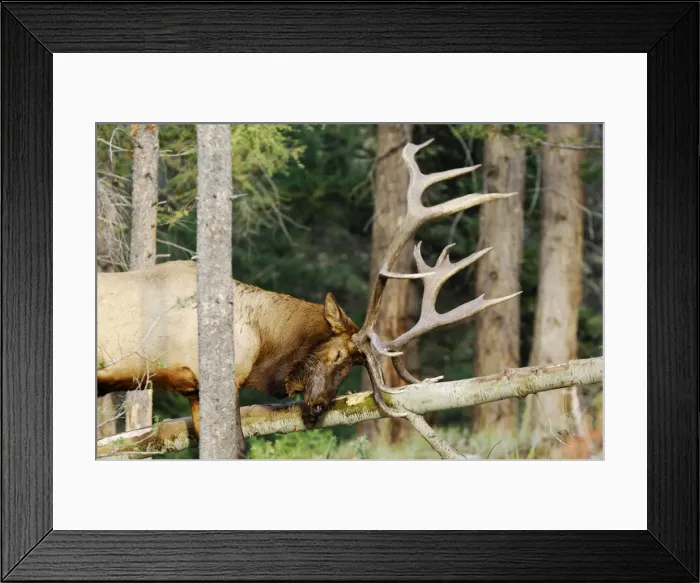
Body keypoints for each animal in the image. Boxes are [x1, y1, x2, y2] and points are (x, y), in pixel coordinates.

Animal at [96, 138, 519, 458]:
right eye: (337, 356)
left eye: (353, 368)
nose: (317, 407)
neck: (261, 340)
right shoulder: (223, 379)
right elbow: (236, 450)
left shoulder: (194, 389)